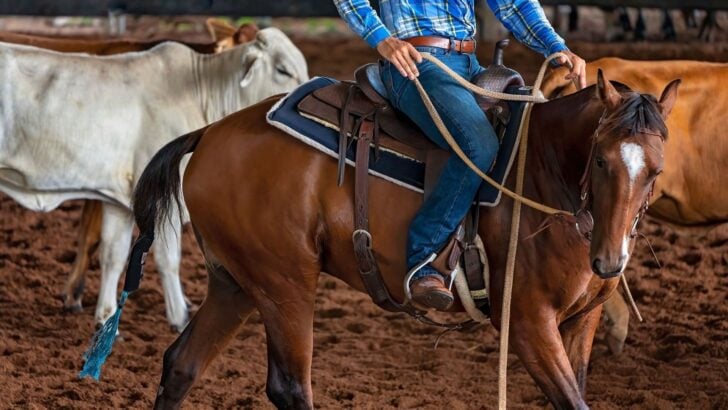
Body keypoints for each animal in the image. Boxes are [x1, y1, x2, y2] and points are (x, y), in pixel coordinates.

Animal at [125, 70, 679, 408]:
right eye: (600, 160)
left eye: (656, 171)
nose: (609, 261)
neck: (543, 172)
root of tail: (210, 132)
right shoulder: (526, 322)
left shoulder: (582, 319)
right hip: (284, 282)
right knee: (289, 386)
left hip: (236, 284)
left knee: (181, 365)